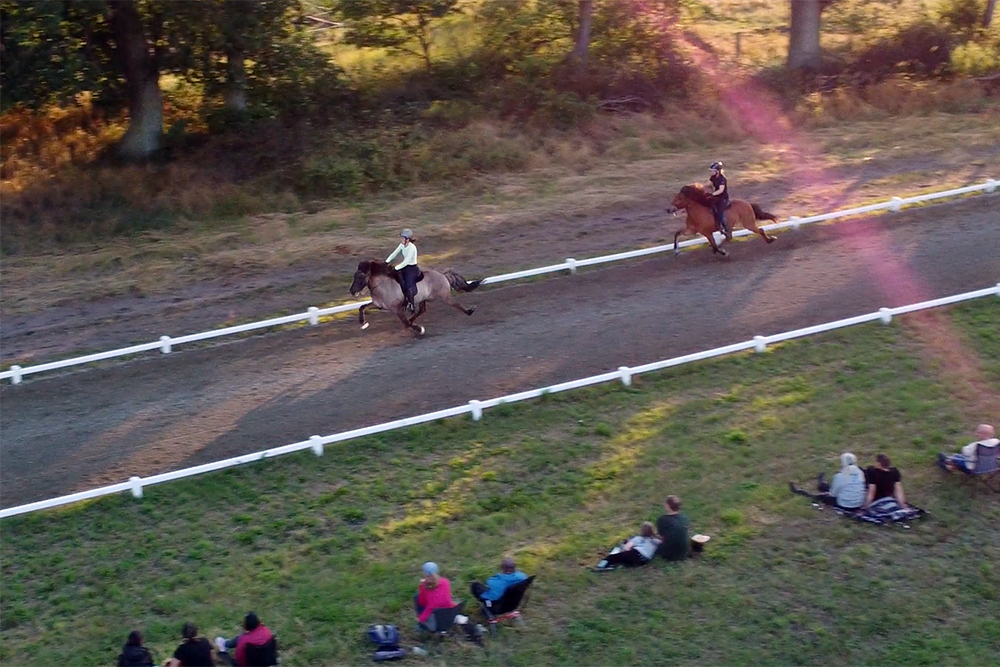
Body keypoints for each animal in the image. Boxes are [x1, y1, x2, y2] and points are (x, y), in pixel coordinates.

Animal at [348, 260, 480, 336]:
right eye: (354, 276)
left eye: (361, 276)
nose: (352, 291)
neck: (383, 285)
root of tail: (443, 275)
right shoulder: (379, 305)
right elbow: (362, 307)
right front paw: (363, 322)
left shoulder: (396, 309)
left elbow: (405, 323)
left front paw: (419, 329)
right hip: (423, 299)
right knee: (422, 310)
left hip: (444, 297)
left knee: (456, 304)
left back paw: (470, 311)